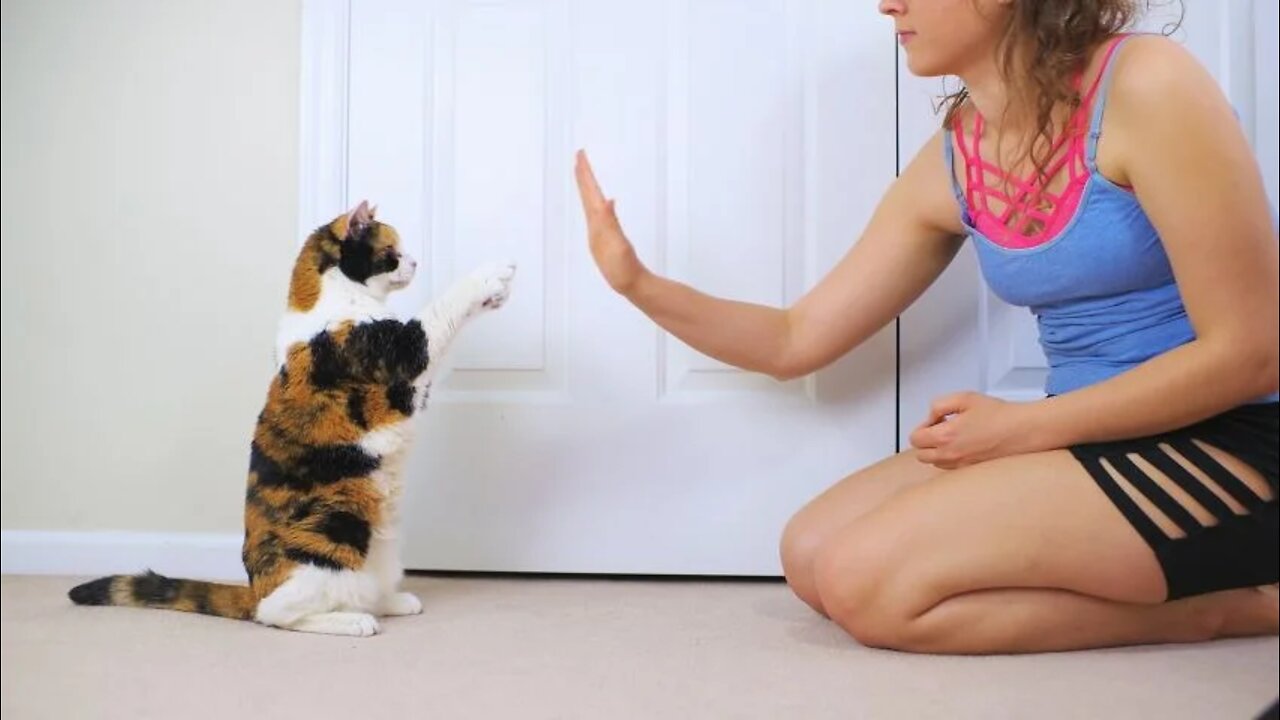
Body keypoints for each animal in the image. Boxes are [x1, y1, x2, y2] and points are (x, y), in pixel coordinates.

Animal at [68, 199, 514, 632]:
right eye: (392, 251)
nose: (416, 263)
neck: (332, 300)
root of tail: (253, 587)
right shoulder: (404, 350)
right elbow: (439, 312)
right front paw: (492, 276)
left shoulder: (414, 386)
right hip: (335, 529)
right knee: (276, 613)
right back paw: (354, 621)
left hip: (382, 546)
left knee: (358, 590)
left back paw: (391, 602)